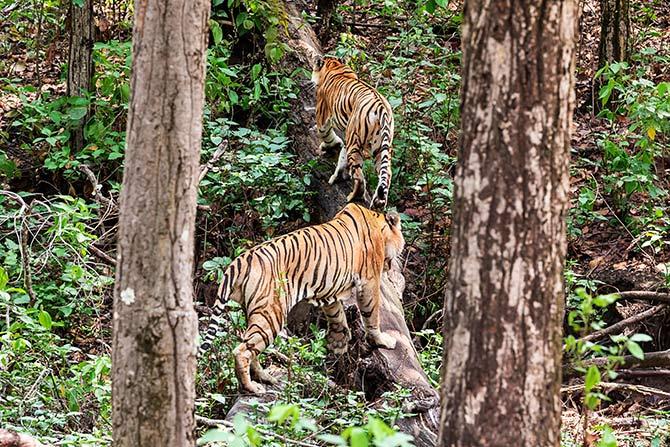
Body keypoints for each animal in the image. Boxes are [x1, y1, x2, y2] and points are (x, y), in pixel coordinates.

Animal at [200, 204, 404, 396]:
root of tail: (239, 261)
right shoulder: (369, 281)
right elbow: (372, 314)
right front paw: (382, 340)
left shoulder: (329, 290)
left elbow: (336, 315)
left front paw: (338, 344)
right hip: (271, 314)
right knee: (241, 351)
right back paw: (252, 387)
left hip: (254, 313)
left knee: (250, 346)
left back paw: (265, 377)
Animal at [312, 58, 396, 212]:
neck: (335, 66)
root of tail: (381, 108)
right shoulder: (348, 137)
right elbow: (342, 158)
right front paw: (337, 176)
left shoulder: (322, 115)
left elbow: (326, 134)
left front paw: (328, 146)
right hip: (380, 146)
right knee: (386, 174)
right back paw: (378, 203)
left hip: (356, 143)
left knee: (359, 175)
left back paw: (353, 196)